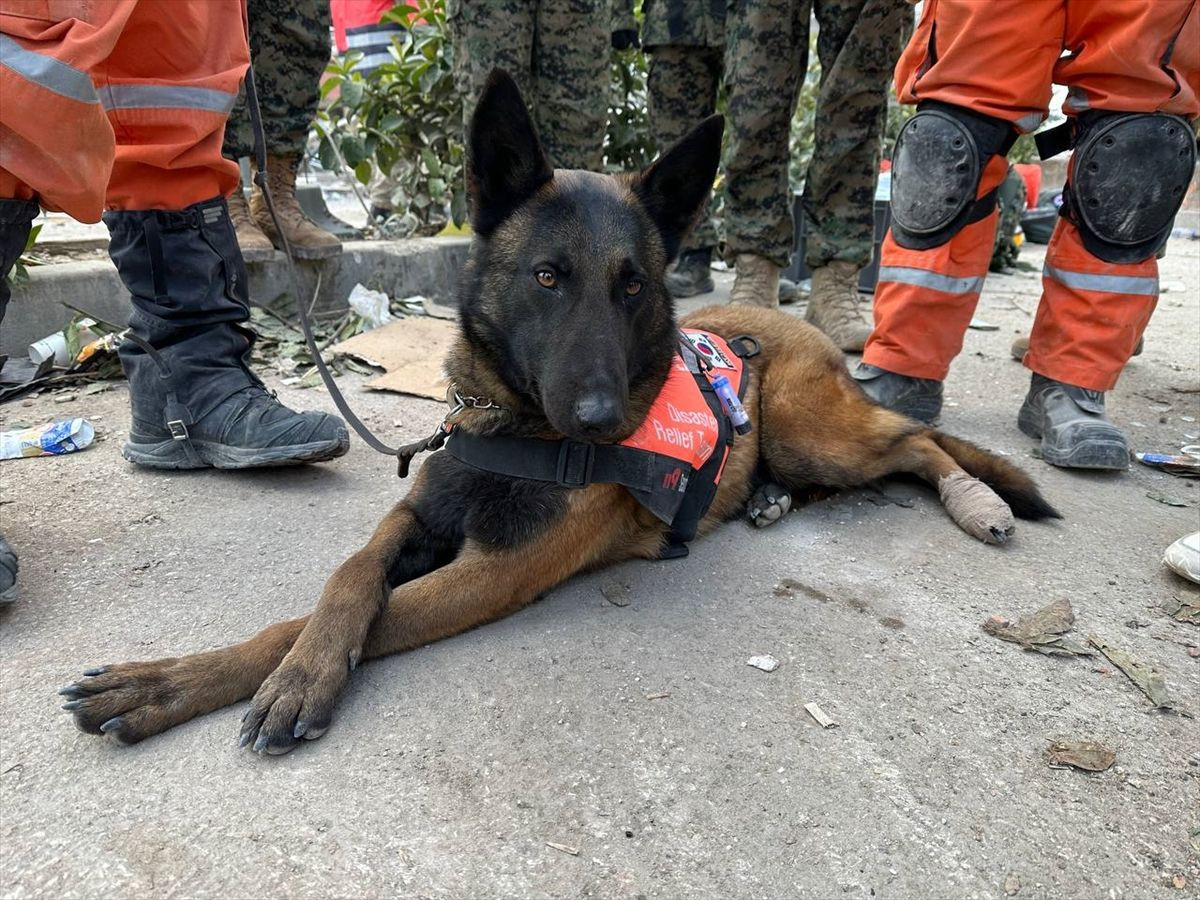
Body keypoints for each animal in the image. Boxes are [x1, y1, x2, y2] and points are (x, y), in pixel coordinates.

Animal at [56, 72, 1056, 753]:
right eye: (547, 278)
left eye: (634, 286)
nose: (602, 418)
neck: (512, 430)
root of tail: (789, 321)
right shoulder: (416, 516)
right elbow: (344, 582)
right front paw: (209, 675)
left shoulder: (492, 573)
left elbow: (338, 617)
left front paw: (264, 677)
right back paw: (769, 498)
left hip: (821, 435)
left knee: (918, 442)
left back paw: (978, 500)